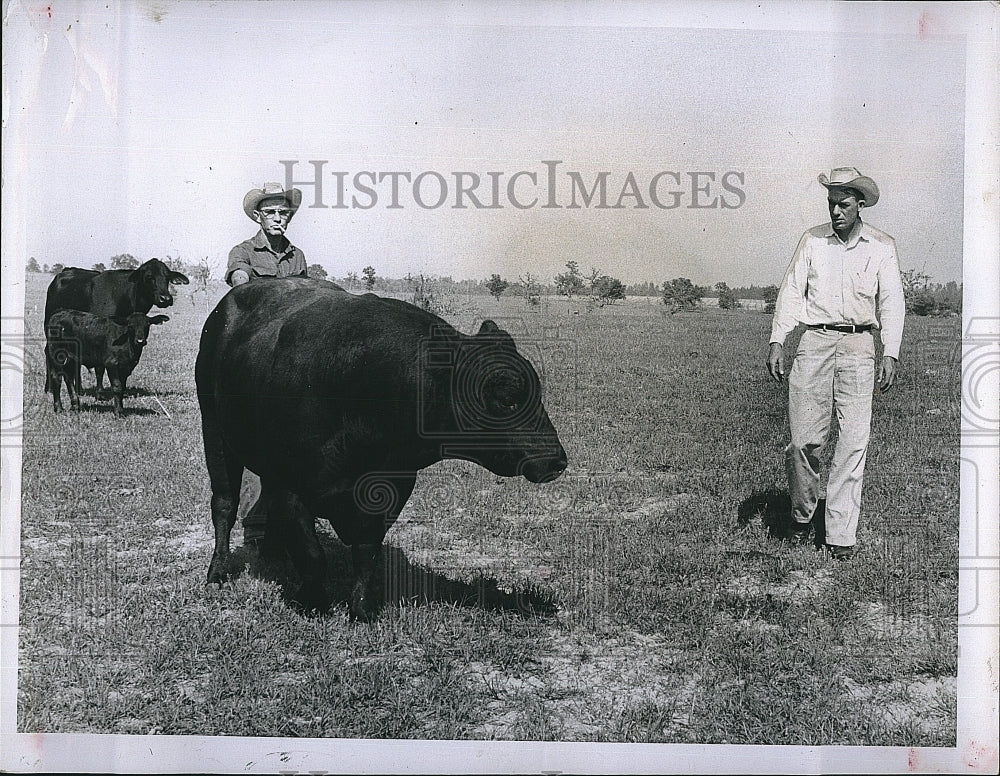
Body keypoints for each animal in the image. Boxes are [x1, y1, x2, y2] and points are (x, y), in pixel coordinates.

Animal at [43, 260, 188, 394]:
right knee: (49, 353)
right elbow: (100, 367)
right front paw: (100, 392)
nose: (166, 298)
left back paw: (79, 389)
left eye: (167, 277)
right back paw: (49, 388)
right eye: (149, 277)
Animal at [197, 276, 572, 620]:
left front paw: (361, 609)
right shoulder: (290, 484)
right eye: (506, 399)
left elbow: (366, 551)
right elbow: (312, 553)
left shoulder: (392, 487)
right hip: (213, 430)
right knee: (225, 505)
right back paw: (218, 571)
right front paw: (313, 602)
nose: (556, 460)